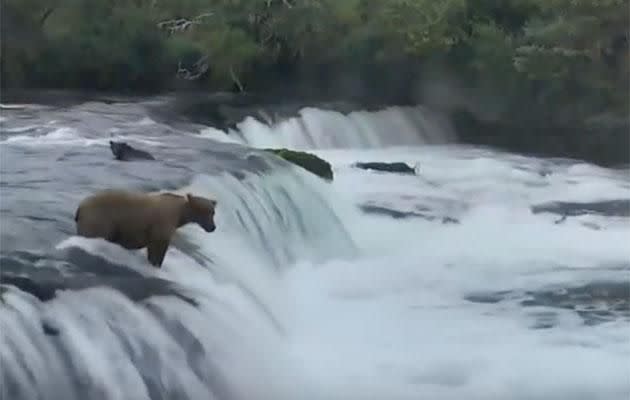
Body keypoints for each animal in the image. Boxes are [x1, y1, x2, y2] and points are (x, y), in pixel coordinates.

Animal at [73, 189, 217, 268]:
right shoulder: (162, 225)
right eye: (204, 211)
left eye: (212, 212)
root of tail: (80, 207)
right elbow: (158, 249)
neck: (180, 215)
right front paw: (156, 264)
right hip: (100, 219)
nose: (212, 227)